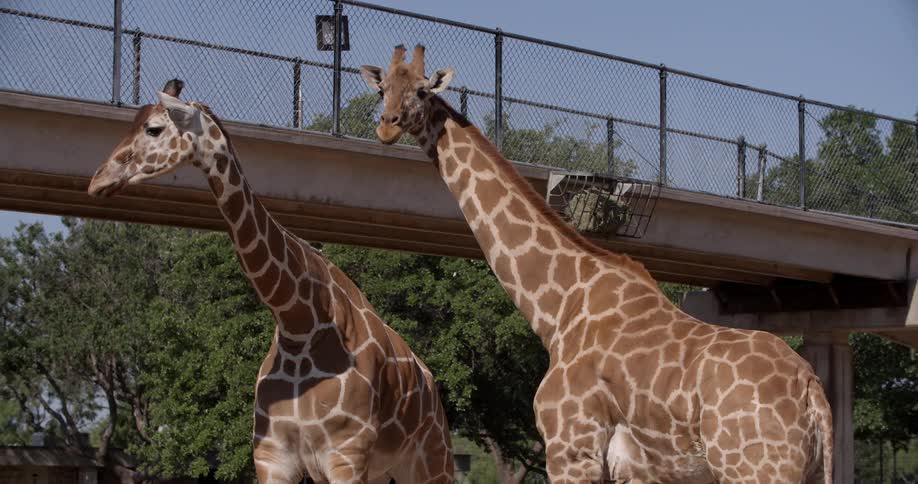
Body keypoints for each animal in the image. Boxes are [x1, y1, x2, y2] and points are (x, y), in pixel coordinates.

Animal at [87, 79, 454, 484]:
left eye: (153, 129)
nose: (97, 180)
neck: (300, 324)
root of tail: (430, 385)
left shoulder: (346, 455)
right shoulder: (273, 456)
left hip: (431, 462)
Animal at [360, 45, 834, 484]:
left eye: (422, 91)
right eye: (383, 89)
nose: (387, 125)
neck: (558, 308)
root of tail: (814, 394)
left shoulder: (571, 446)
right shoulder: (633, 470)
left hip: (753, 467)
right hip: (804, 469)